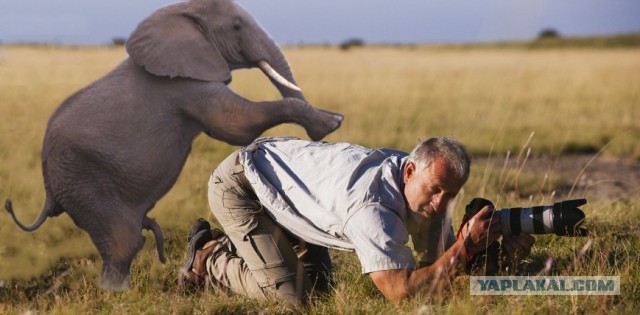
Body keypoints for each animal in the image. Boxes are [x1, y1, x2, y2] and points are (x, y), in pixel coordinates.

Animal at [5, 0, 342, 292]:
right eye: (236, 26)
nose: (321, 137)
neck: (181, 13)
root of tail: (49, 193)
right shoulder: (185, 85)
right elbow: (235, 123)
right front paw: (331, 121)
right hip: (85, 182)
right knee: (123, 242)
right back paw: (119, 295)